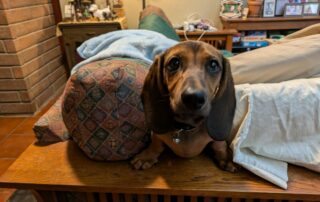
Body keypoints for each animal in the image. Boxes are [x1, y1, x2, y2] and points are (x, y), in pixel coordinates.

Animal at [131, 41, 238, 172]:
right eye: (174, 62)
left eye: (213, 64)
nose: (193, 98)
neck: (186, 127)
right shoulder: (157, 136)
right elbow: (156, 144)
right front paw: (147, 155)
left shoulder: (217, 140)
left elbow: (219, 145)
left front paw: (225, 157)